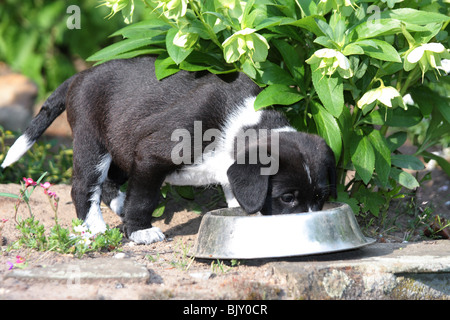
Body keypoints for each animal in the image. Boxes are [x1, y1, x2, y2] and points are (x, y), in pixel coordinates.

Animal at [1, 56, 336, 244]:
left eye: (321, 197)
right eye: (287, 198)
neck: (244, 124)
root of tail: (81, 74)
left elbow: (233, 187)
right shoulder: (151, 154)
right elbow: (144, 199)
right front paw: (139, 231)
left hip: (121, 142)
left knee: (109, 181)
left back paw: (117, 204)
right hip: (92, 141)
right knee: (85, 186)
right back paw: (94, 227)